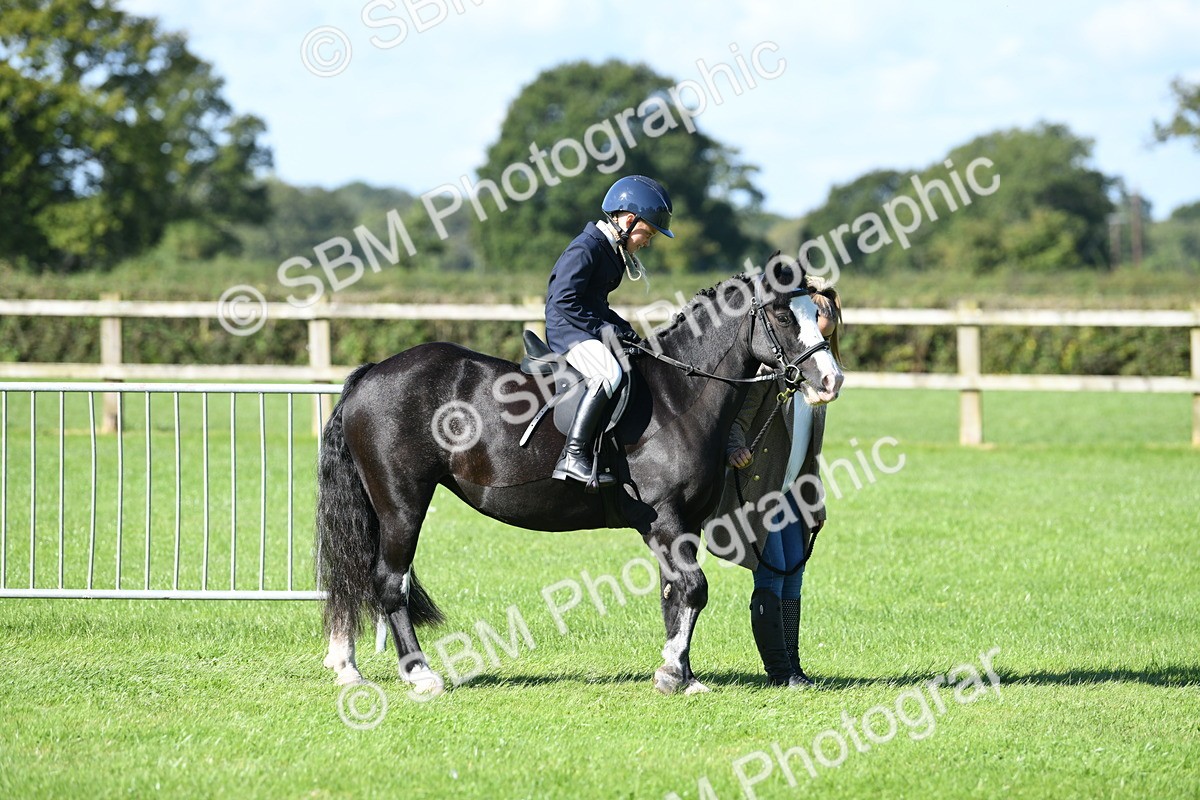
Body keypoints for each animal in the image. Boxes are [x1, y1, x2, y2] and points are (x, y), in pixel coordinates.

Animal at [317, 258, 844, 696]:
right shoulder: (665, 519)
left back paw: (348, 665)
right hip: (402, 503)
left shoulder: (684, 524)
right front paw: (672, 673)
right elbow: (694, 588)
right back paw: (421, 675)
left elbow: (675, 594)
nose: (831, 381)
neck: (678, 395)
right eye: (782, 316)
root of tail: (372, 374)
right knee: (389, 582)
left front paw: (683, 674)